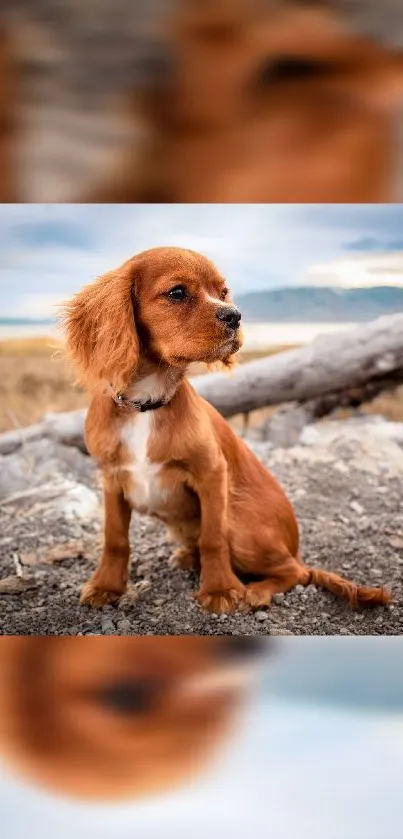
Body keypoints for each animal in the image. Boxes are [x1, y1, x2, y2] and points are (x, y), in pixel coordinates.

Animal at [60, 244, 392, 616]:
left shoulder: (212, 472)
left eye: (223, 293)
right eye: (177, 292)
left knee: (297, 572)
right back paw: (188, 559)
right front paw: (106, 587)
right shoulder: (111, 477)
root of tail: (294, 547)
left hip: (242, 523)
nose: (235, 316)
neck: (147, 403)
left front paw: (219, 589)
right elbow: (115, 538)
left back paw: (256, 591)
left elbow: (212, 537)